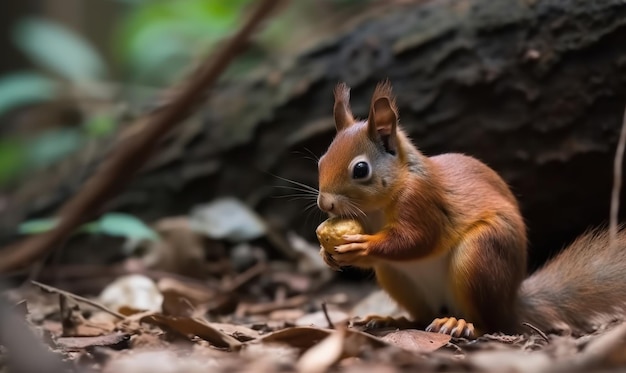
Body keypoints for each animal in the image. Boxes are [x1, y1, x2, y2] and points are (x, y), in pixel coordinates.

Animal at [314, 80, 624, 338]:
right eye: (321, 161)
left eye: (360, 169)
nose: (325, 203)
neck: (378, 207)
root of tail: (511, 304)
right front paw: (326, 254)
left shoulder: (422, 201)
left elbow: (416, 241)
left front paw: (362, 246)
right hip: (396, 277)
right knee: (421, 316)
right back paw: (392, 320)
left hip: (481, 256)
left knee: (489, 324)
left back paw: (462, 325)